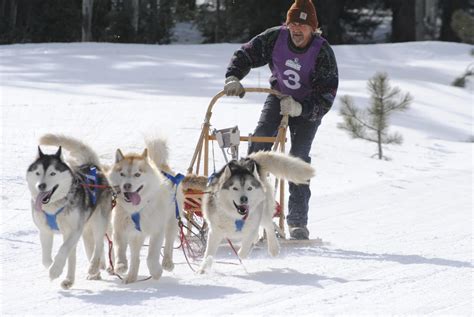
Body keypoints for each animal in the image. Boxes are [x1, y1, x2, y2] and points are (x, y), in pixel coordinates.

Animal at [26, 134, 113, 288]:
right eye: (37, 173)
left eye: (52, 173)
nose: (41, 185)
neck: (54, 206)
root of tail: (92, 166)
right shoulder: (45, 231)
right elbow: (46, 259)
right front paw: (53, 266)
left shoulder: (73, 230)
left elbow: (62, 250)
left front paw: (55, 270)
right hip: (85, 230)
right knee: (81, 252)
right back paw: (72, 279)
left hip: (99, 221)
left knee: (100, 244)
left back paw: (95, 267)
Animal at [108, 137, 182, 282]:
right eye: (122, 174)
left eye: (137, 174)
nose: (127, 185)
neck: (137, 209)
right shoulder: (120, 229)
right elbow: (119, 249)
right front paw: (120, 265)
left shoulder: (157, 231)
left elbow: (152, 256)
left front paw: (156, 272)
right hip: (136, 235)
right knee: (135, 258)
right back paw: (131, 277)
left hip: (172, 221)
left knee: (169, 243)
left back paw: (167, 263)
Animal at [183, 150, 316, 272]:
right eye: (235, 188)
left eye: (249, 188)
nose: (244, 198)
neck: (236, 217)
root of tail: (246, 161)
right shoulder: (215, 231)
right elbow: (209, 253)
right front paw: (204, 268)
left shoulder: (253, 226)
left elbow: (246, 244)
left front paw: (243, 253)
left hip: (264, 210)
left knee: (269, 226)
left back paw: (273, 248)